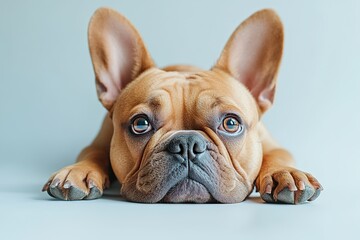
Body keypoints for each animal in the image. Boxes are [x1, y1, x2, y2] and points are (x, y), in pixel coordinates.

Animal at [43, 7, 324, 202]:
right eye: (140, 124)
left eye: (231, 123)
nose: (187, 144)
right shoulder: (98, 142)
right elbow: (93, 153)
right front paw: (77, 172)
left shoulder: (274, 145)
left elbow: (276, 155)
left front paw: (285, 174)